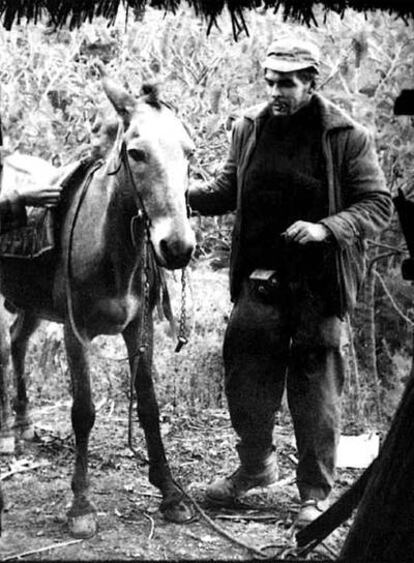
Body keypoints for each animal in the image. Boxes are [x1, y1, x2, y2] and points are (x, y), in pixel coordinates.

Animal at [0, 72, 197, 540]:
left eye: (189, 152)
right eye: (136, 153)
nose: (177, 247)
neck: (111, 248)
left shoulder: (138, 328)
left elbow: (148, 405)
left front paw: (170, 493)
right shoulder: (77, 332)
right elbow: (83, 412)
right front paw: (81, 505)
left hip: (32, 304)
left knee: (16, 342)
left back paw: (22, 424)